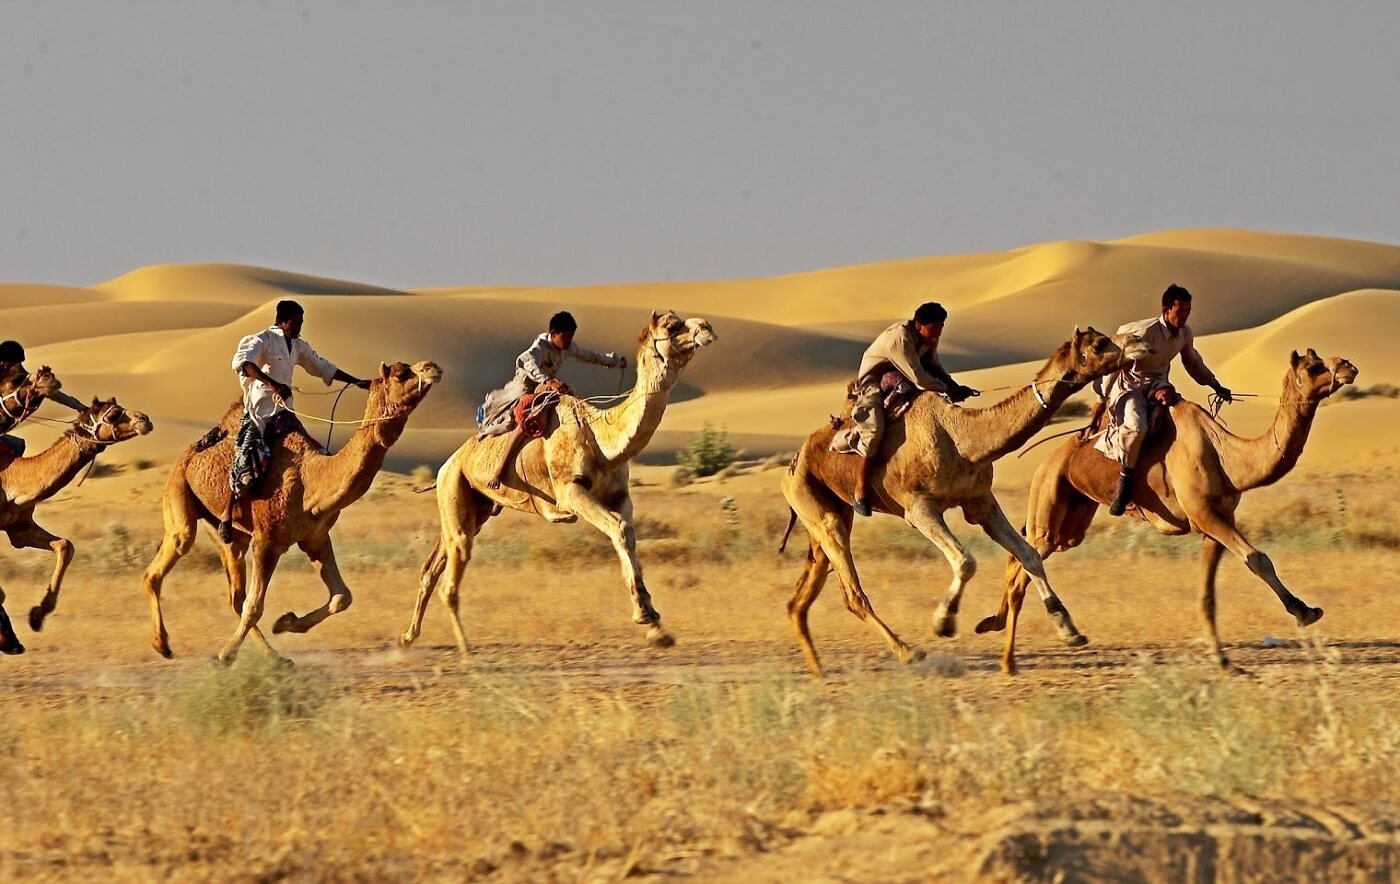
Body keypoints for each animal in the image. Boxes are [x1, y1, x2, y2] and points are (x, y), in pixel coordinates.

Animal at [0, 397, 154, 652]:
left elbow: (65, 545)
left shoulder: (19, 528)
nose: (145, 420)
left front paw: (37, 616)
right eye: (113, 414)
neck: (12, 480)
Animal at [142, 358, 436, 664]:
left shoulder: (315, 537)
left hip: (229, 532)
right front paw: (225, 654)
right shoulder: (267, 541)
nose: (432, 367)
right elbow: (255, 605)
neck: (312, 481)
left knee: (235, 594)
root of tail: (188, 454)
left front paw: (285, 623)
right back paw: (163, 645)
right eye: (402, 374)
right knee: (168, 558)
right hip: (179, 491)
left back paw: (274, 657)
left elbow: (342, 596)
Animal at [397, 309, 716, 650]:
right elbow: (617, 529)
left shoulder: (619, 495)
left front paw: (657, 627)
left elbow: (628, 534)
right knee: (452, 559)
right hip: (453, 488)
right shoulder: (570, 491)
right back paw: (458, 646)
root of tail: (447, 465)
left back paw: (408, 636)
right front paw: (645, 615)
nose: (706, 327)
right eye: (672, 325)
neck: (600, 437)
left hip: (476, 508)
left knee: (434, 563)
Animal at [778, 325, 1148, 678]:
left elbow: (1029, 555)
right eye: (1099, 345)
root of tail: (792, 464)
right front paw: (944, 621)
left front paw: (1069, 630)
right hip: (816, 504)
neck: (962, 439)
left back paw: (818, 669)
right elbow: (966, 561)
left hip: (828, 515)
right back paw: (909, 652)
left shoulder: (980, 501)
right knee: (852, 592)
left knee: (803, 595)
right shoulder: (919, 508)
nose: (1138, 344)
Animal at [980, 348, 1360, 675]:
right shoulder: (1204, 513)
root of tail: (1047, 461)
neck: (1227, 456)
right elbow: (1258, 558)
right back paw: (1023, 653)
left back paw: (998, 633)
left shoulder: (1216, 521)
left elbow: (1208, 594)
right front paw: (1304, 611)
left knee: (1021, 556)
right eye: (1313, 366)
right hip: (1048, 498)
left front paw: (1223, 661)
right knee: (1025, 563)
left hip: (1072, 521)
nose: (1347, 365)